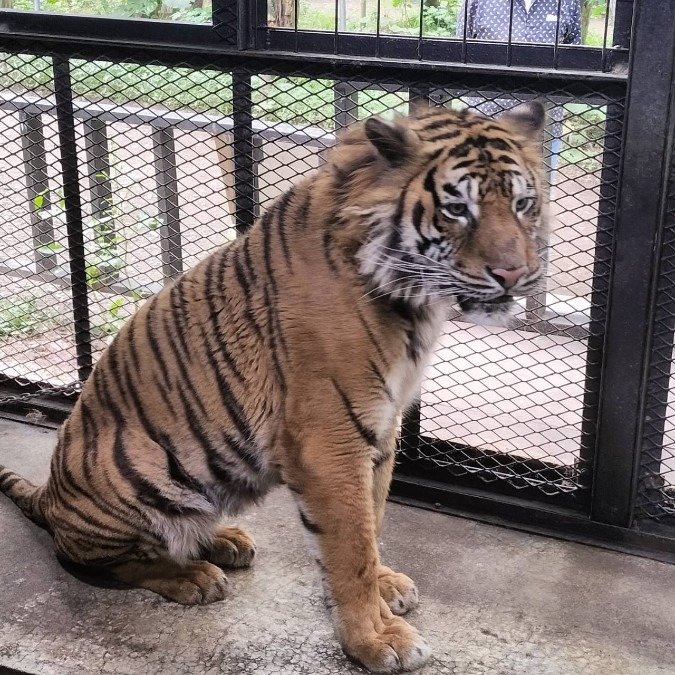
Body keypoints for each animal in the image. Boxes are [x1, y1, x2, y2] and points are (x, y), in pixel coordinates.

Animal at [0, 101, 548, 675]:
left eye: (523, 203)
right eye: (457, 209)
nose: (515, 274)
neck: (411, 302)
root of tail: (50, 496)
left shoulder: (381, 424)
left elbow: (372, 521)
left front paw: (385, 586)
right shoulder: (329, 439)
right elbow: (351, 546)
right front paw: (378, 639)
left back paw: (223, 540)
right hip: (135, 467)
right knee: (95, 557)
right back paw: (193, 575)